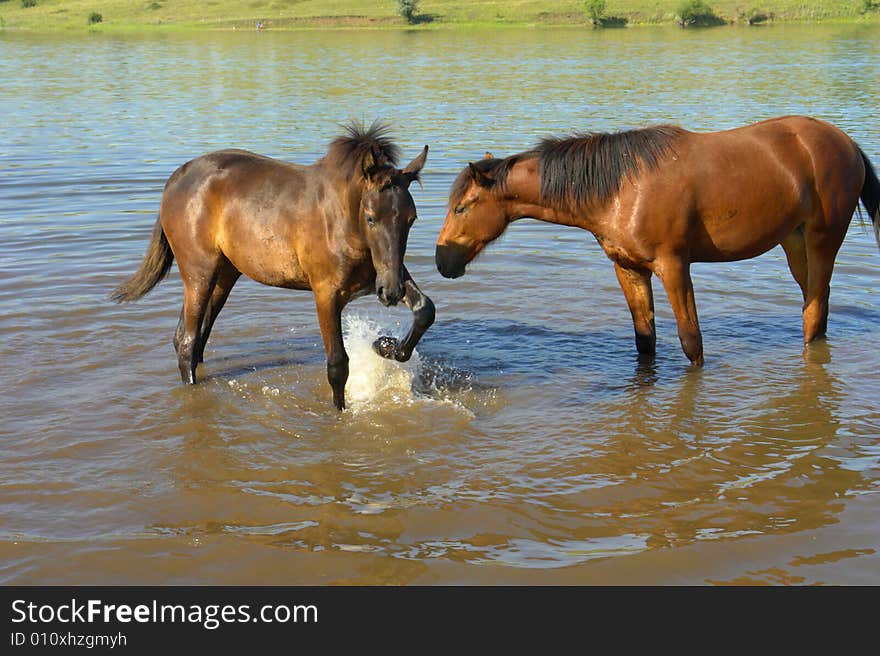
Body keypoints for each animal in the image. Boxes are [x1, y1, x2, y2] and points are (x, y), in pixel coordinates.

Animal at [113, 121, 436, 410]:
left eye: (412, 219)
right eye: (370, 217)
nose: (390, 293)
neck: (344, 223)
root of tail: (174, 180)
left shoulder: (382, 276)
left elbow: (425, 309)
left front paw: (387, 346)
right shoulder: (326, 294)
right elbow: (337, 365)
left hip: (223, 276)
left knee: (192, 337)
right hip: (198, 275)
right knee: (188, 342)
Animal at [436, 115, 876, 366]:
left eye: (462, 207)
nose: (443, 261)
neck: (619, 189)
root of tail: (847, 143)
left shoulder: (674, 266)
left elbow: (691, 342)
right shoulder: (628, 269)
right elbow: (644, 340)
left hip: (822, 241)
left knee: (813, 312)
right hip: (794, 244)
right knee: (816, 308)